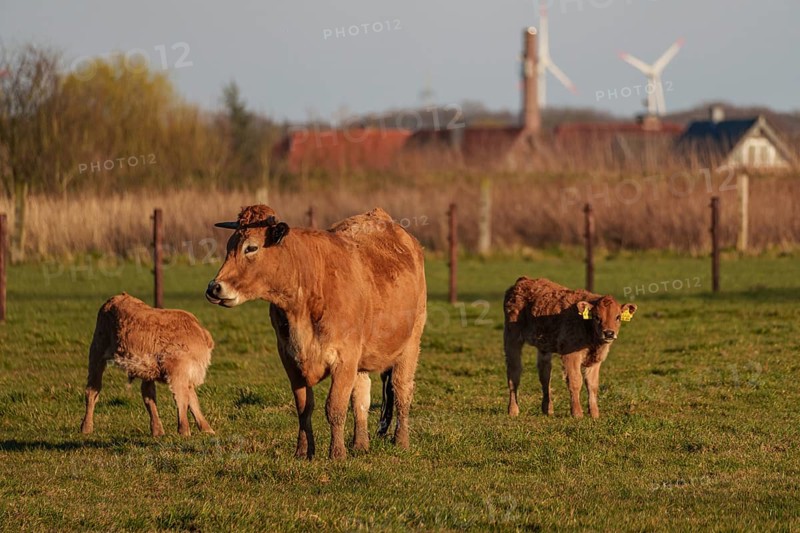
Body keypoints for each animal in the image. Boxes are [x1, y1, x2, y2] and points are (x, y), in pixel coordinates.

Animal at [81, 293, 216, 437]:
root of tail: (115, 298)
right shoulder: (177, 371)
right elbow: (183, 398)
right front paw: (184, 431)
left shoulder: (187, 374)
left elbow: (191, 399)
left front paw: (206, 429)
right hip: (97, 350)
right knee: (92, 389)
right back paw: (86, 427)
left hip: (146, 368)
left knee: (148, 394)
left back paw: (158, 430)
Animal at [206, 205, 427, 459]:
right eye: (229, 247)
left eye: (251, 247)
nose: (214, 287)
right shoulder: (290, 359)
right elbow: (304, 407)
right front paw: (303, 451)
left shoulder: (344, 358)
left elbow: (335, 407)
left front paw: (337, 453)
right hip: (361, 361)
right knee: (361, 397)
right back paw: (360, 444)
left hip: (411, 344)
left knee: (401, 390)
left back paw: (401, 441)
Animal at [503, 277, 637, 419]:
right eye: (597, 317)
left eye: (618, 317)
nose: (609, 333)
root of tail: (522, 281)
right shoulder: (571, 356)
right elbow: (575, 381)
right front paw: (577, 413)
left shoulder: (596, 361)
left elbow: (592, 385)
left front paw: (594, 413)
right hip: (512, 339)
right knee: (514, 374)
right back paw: (513, 410)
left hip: (544, 347)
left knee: (545, 375)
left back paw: (548, 409)